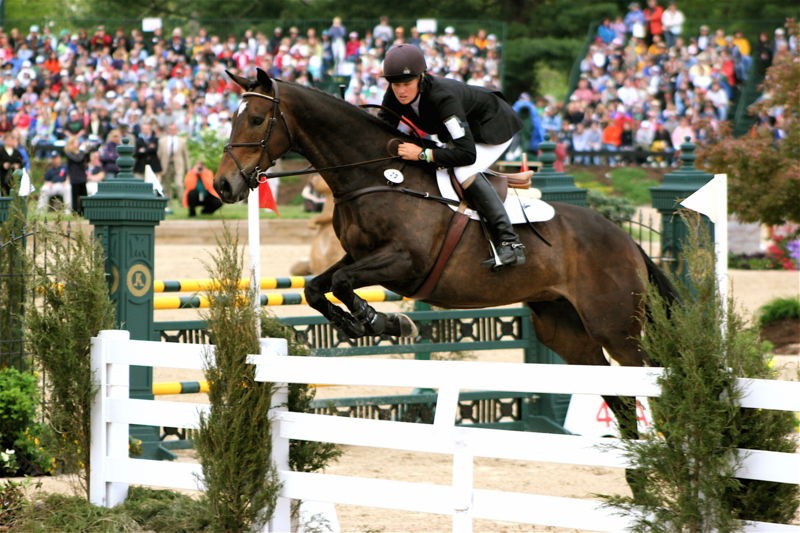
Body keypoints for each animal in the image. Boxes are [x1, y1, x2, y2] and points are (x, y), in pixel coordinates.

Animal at [211, 69, 676, 494]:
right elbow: (316, 287)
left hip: (615, 327)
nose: (223, 185)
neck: (376, 177)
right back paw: (637, 476)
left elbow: (341, 282)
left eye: (256, 119)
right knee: (617, 394)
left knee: (645, 380)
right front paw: (364, 323)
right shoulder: (360, 256)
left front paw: (381, 322)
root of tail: (626, 240)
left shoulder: (402, 262)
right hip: (565, 330)